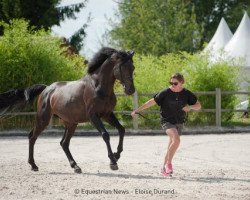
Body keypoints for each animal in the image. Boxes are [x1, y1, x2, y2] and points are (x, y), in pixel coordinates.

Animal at [0, 47, 135, 173]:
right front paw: (113, 162)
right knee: (32, 137)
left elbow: (121, 130)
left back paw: (75, 166)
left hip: (71, 123)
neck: (98, 86)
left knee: (63, 143)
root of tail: (46, 89)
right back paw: (33, 165)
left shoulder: (107, 114)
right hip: (43, 119)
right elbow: (105, 135)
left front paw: (117, 155)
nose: (131, 90)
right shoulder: (93, 116)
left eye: (132, 67)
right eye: (122, 67)